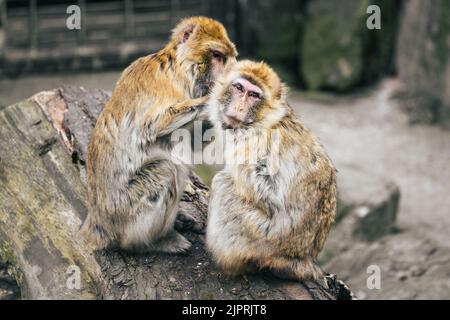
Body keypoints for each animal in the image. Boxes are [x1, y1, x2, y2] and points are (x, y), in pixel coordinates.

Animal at [85, 16, 239, 252]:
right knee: (164, 170)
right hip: (125, 213)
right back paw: (155, 241)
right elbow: (151, 127)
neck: (181, 69)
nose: (225, 76)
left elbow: (191, 142)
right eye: (217, 56)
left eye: (226, 58)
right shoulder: (162, 81)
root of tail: (98, 223)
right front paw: (219, 100)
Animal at [206, 60, 336, 280]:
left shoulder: (252, 144)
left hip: (261, 237)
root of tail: (304, 255)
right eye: (239, 87)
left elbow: (269, 196)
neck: (265, 118)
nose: (239, 106)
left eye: (253, 95)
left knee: (223, 184)